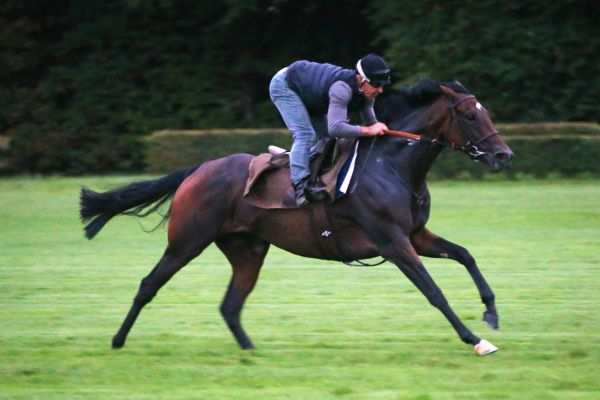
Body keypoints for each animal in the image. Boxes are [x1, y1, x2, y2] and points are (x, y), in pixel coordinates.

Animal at [78, 79, 510, 356]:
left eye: (486, 112)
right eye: (470, 115)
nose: (504, 155)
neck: (393, 166)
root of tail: (197, 169)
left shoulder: (415, 234)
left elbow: (465, 254)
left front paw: (491, 312)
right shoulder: (393, 241)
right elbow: (433, 291)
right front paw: (475, 339)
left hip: (247, 249)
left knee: (230, 304)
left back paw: (251, 351)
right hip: (186, 241)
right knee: (149, 284)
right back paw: (117, 340)